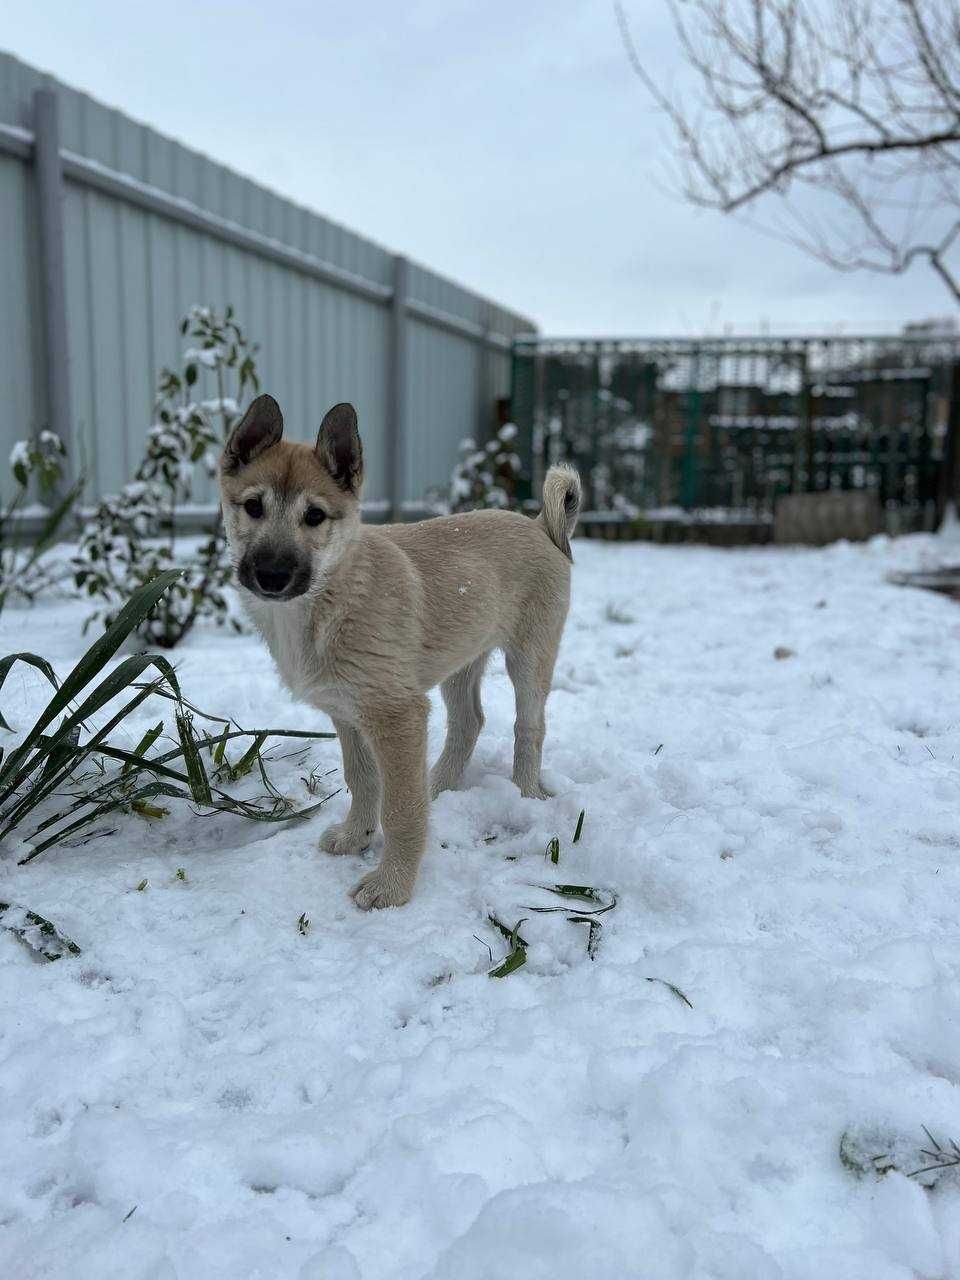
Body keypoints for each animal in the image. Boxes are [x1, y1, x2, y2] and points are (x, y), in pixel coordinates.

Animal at [220, 394, 578, 906]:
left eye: (315, 516)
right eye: (253, 507)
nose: (271, 576)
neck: (332, 598)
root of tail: (540, 525)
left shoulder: (396, 714)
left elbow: (401, 808)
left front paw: (392, 886)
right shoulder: (348, 713)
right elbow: (364, 780)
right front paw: (356, 837)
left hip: (530, 657)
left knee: (529, 727)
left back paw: (527, 794)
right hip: (460, 660)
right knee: (468, 722)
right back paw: (439, 786)